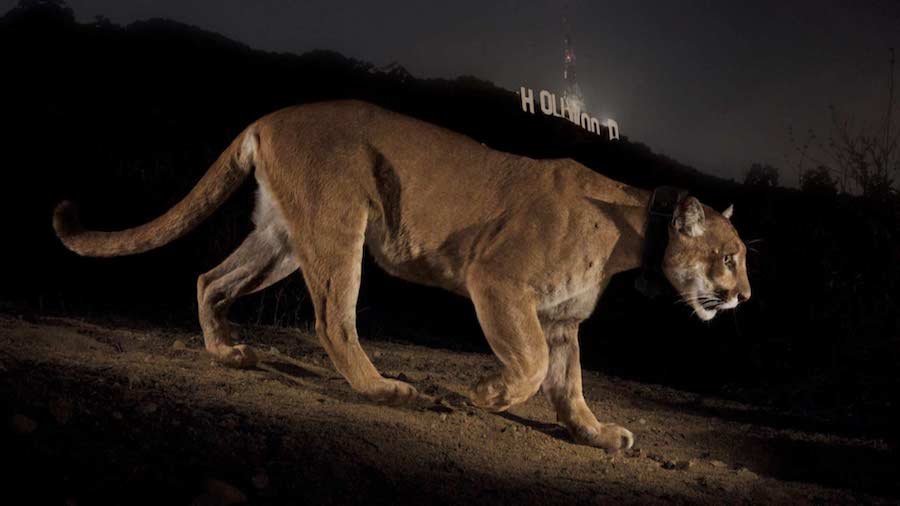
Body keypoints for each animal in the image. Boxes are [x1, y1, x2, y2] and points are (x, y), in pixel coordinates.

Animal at [53, 100, 751, 451]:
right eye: (730, 256)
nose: (744, 295)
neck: (633, 231)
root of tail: (269, 117)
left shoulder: (560, 319)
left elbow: (569, 386)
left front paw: (597, 434)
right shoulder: (498, 281)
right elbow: (528, 367)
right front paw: (486, 395)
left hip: (281, 239)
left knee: (209, 279)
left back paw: (228, 352)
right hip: (339, 225)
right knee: (333, 319)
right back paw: (388, 390)